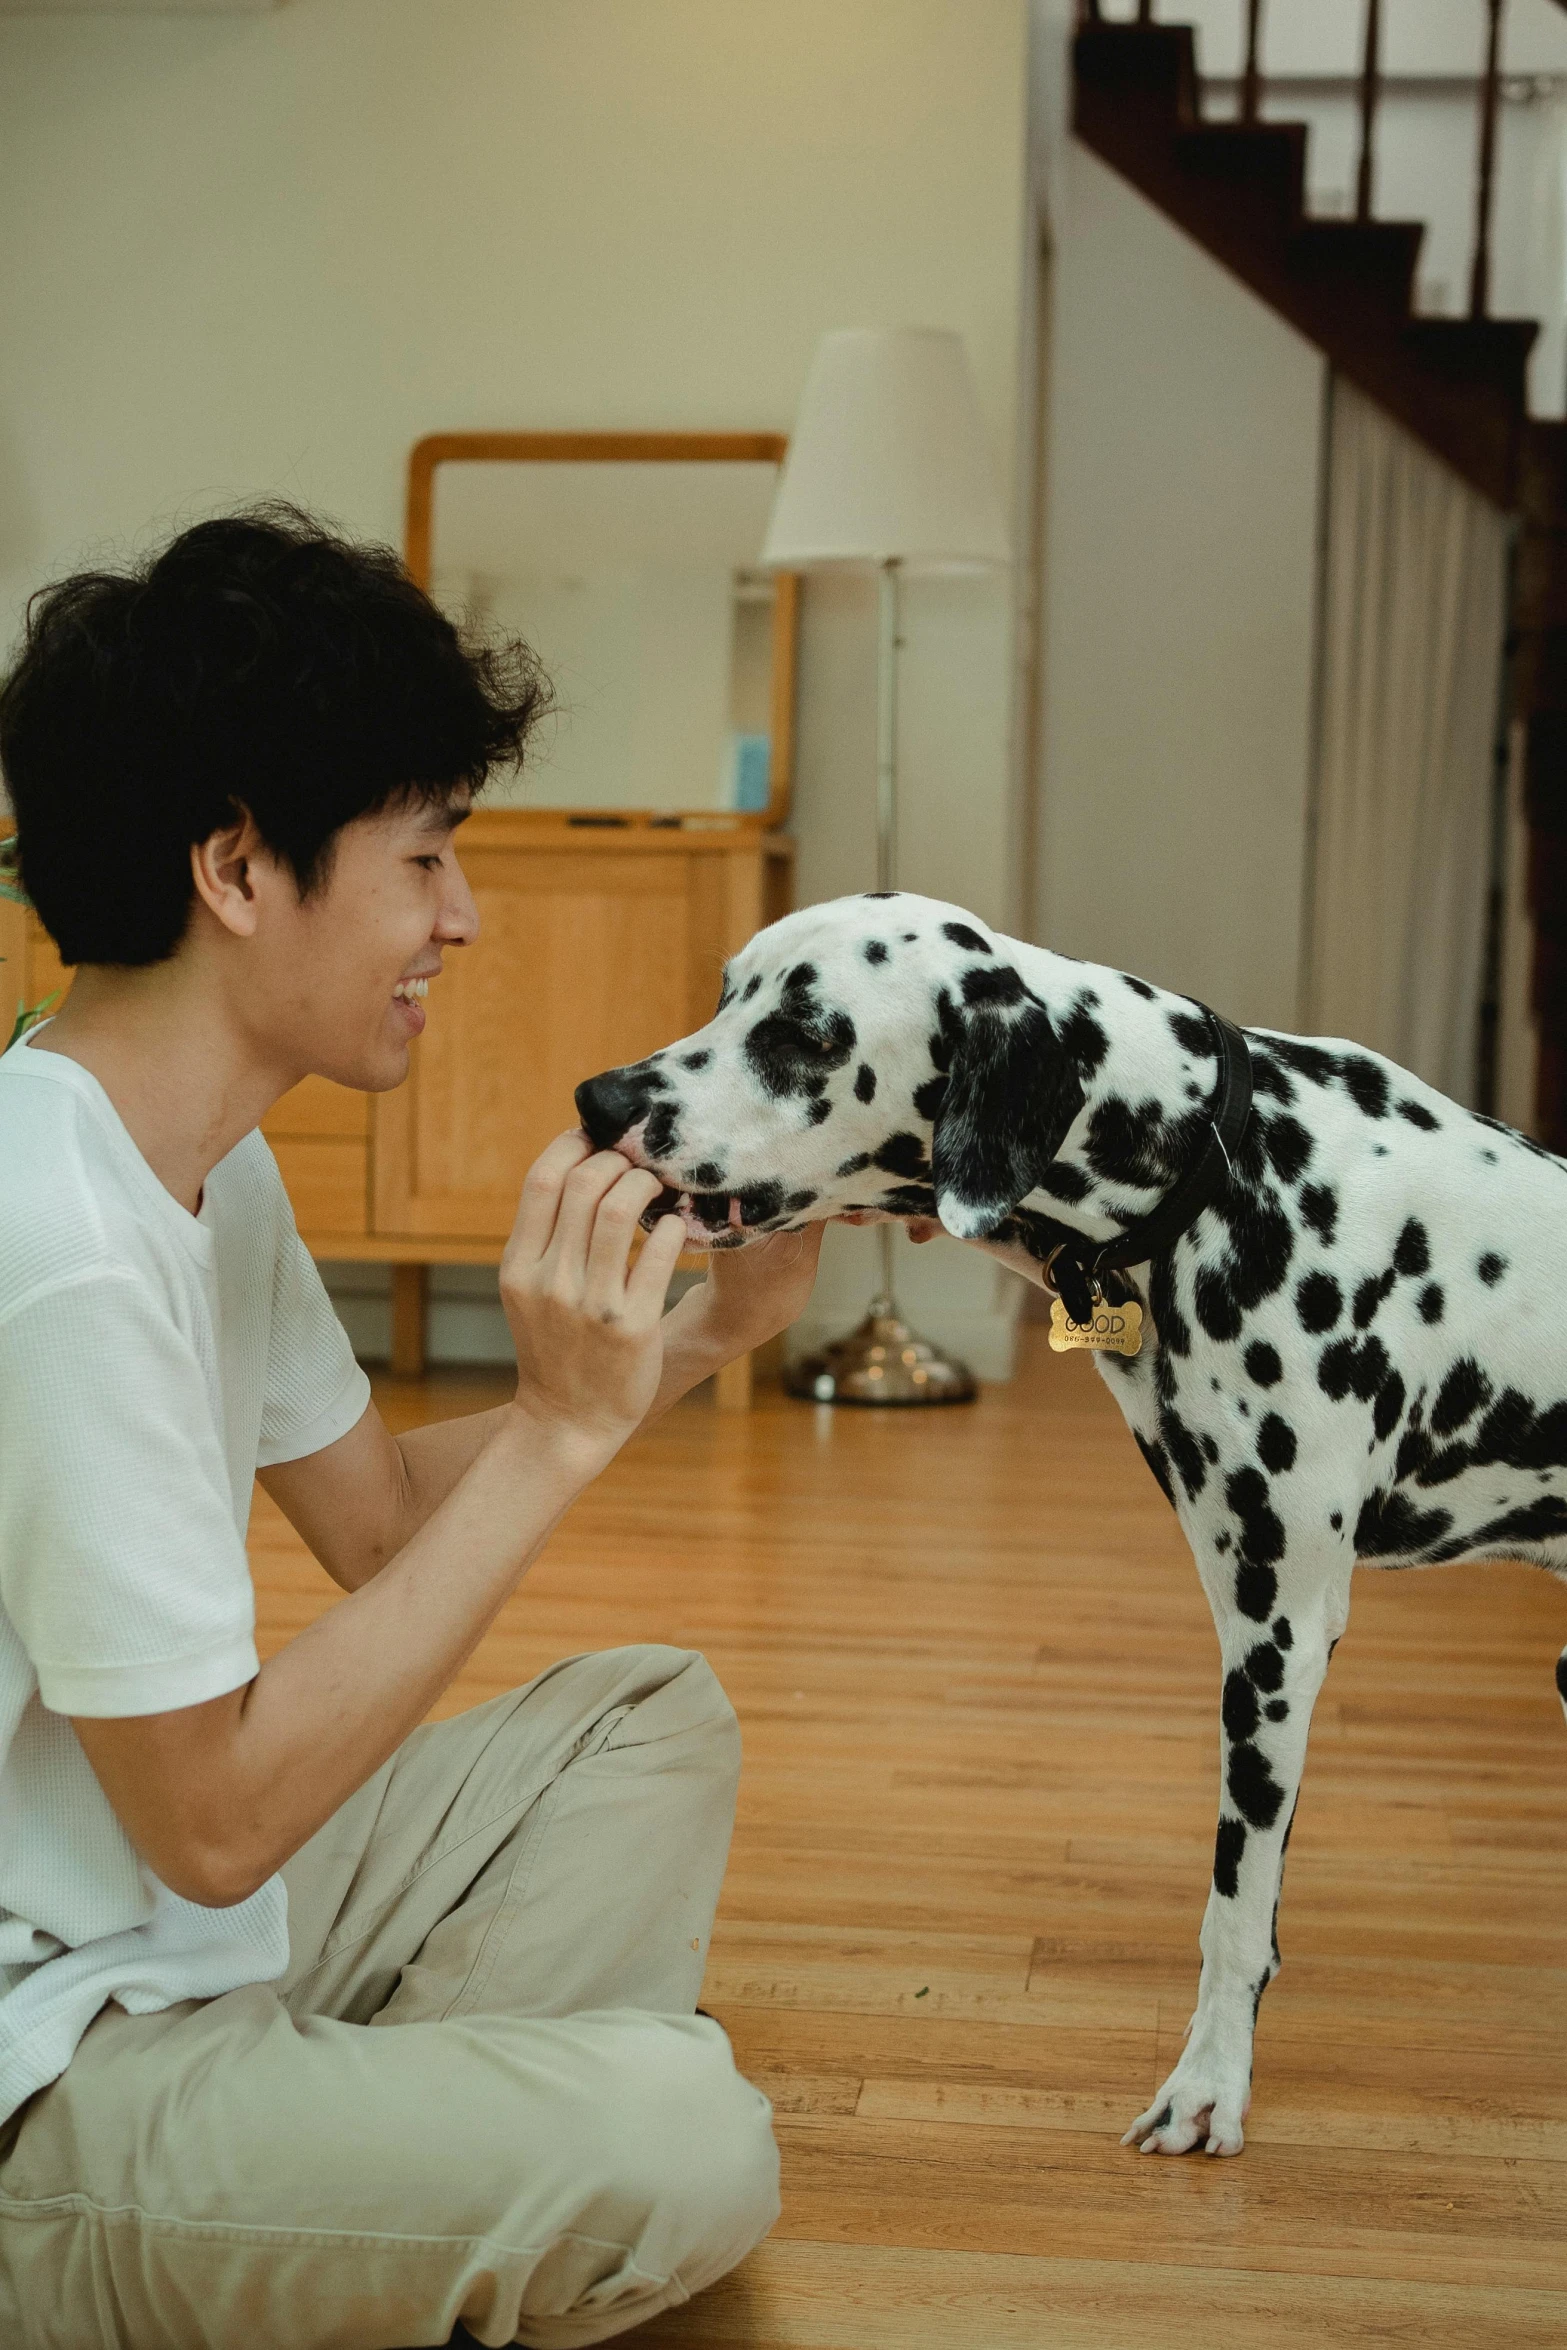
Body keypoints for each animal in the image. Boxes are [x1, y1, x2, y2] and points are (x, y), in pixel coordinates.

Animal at [575, 892, 1567, 2162]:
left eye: (806, 1034)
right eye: (723, 993)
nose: (597, 1100)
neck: (1219, 1171)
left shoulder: (1277, 1637)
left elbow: (1234, 1913)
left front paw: (1209, 2083)